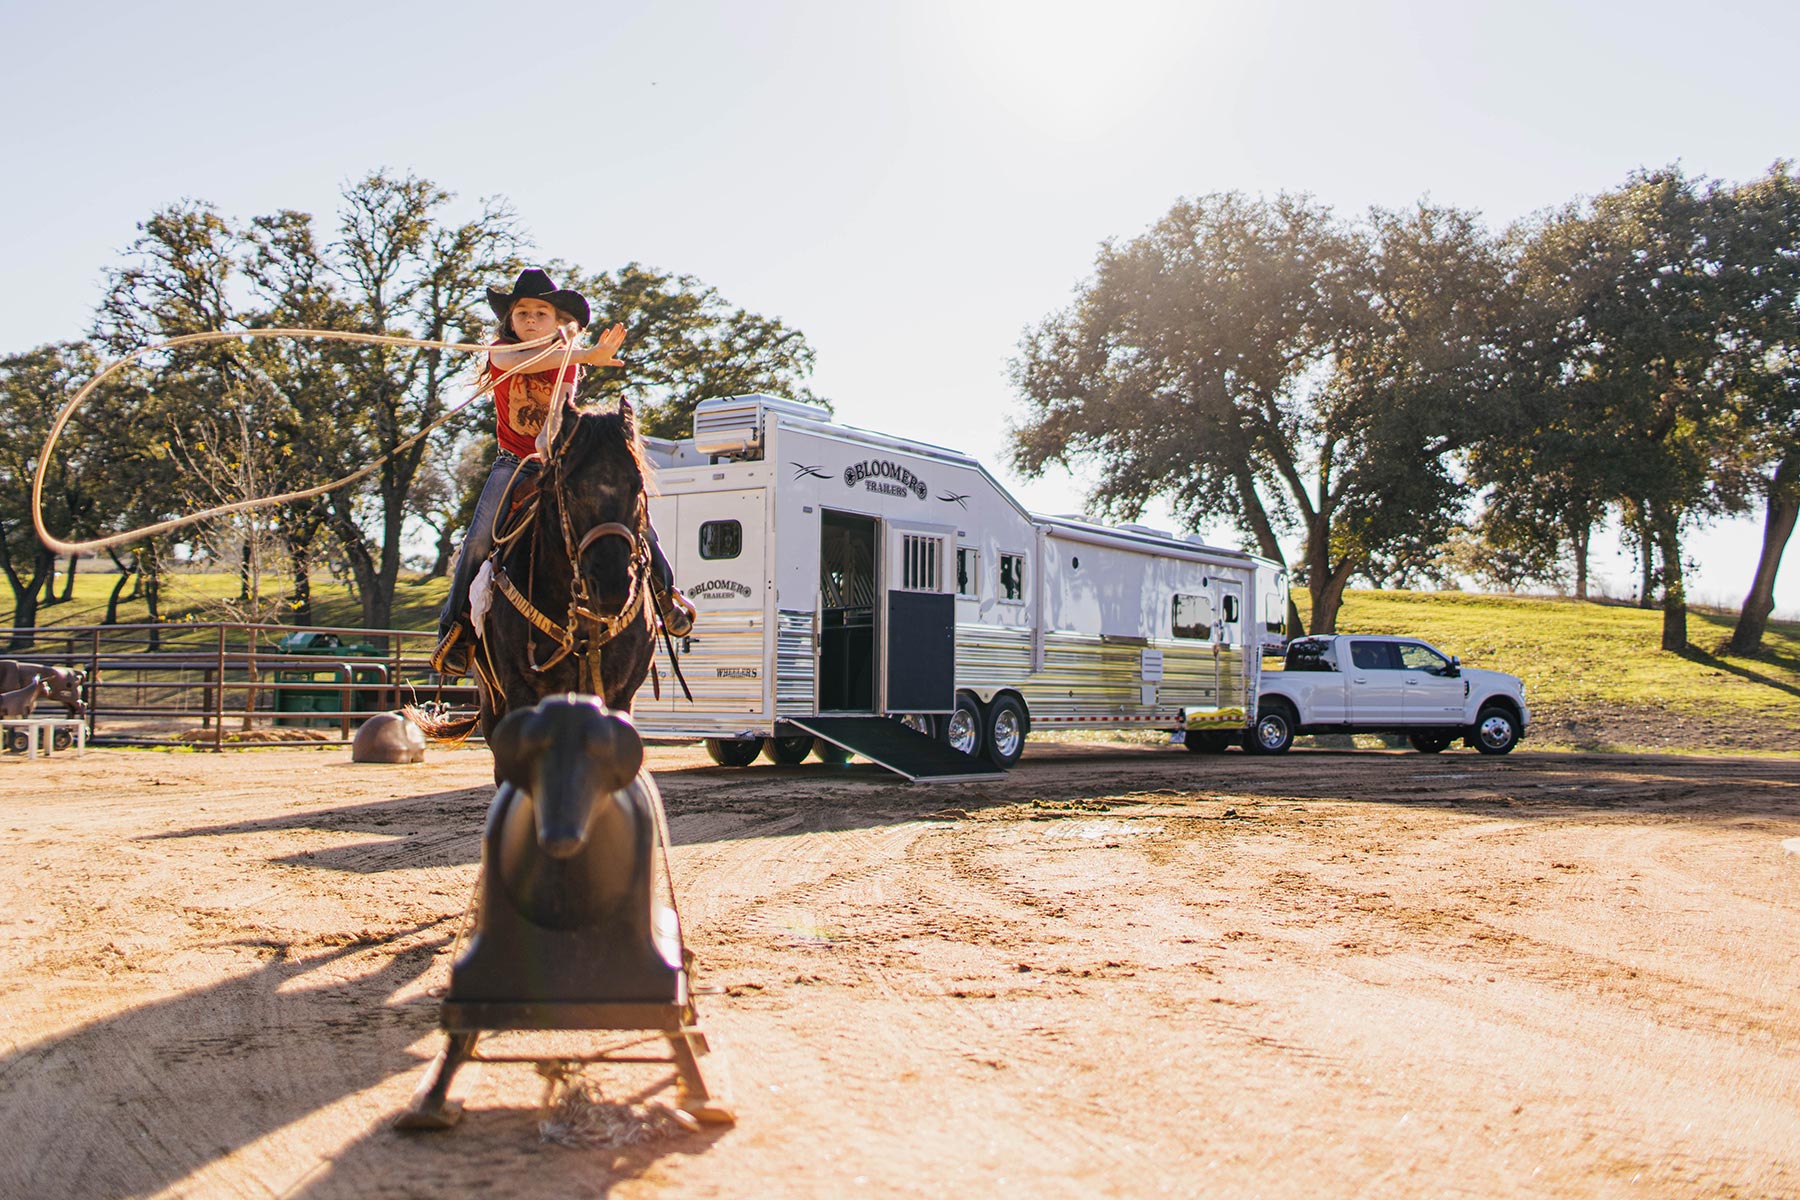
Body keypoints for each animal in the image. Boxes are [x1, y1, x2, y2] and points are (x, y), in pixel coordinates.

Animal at [412, 408, 655, 755]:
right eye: (570, 488)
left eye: (636, 485)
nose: (612, 588)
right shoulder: (520, 693)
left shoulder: (621, 695)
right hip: (491, 699)